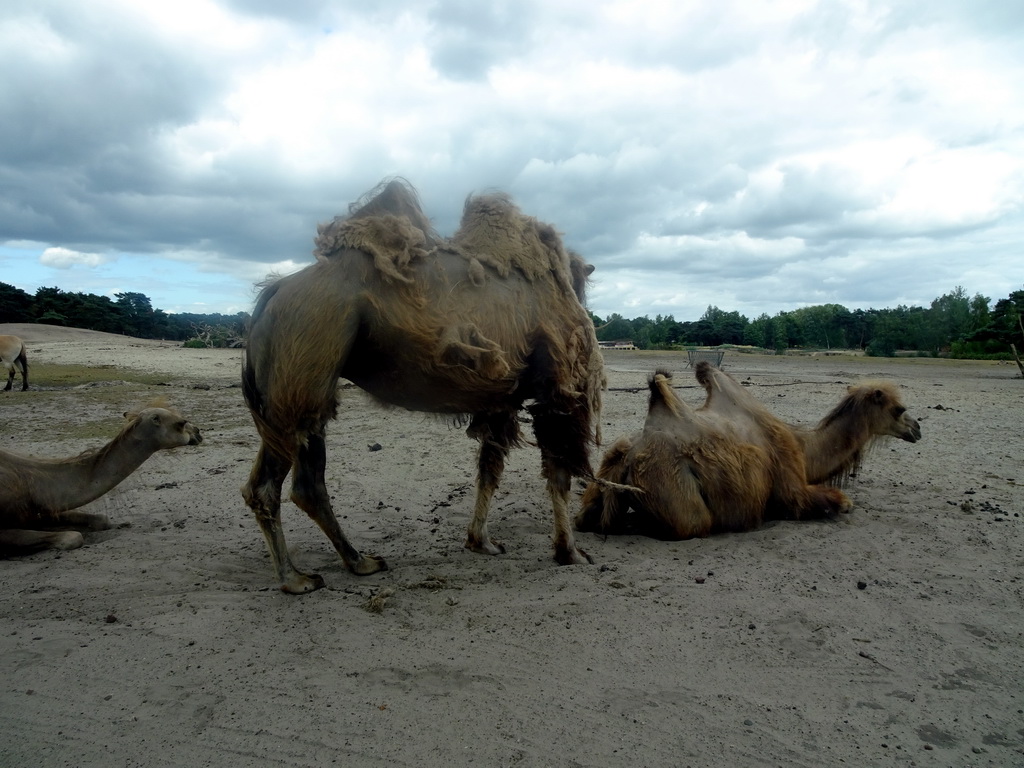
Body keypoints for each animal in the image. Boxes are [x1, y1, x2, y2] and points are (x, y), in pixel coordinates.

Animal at [242, 179, 602, 593]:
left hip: (289, 396)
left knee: (291, 483)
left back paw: (357, 562)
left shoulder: (500, 400)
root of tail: (274, 292)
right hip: (303, 370)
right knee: (282, 484)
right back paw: (298, 578)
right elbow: (558, 473)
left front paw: (481, 541)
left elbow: (489, 469)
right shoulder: (554, 389)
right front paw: (570, 552)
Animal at [577, 364, 921, 540]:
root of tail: (630, 454)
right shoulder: (791, 484)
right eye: (898, 409)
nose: (917, 429)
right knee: (692, 523)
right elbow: (836, 502)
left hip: (609, 467)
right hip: (678, 496)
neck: (802, 447)